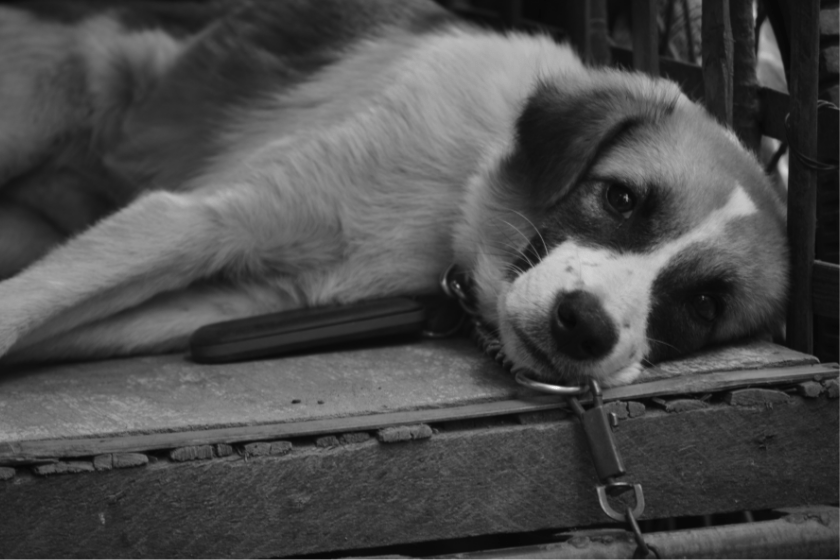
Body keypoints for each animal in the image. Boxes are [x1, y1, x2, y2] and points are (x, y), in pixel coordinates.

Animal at [0, 0, 788, 388]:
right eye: (622, 199)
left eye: (706, 305)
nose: (585, 329)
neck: (461, 190)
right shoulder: (200, 220)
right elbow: (18, 310)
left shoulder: (229, 304)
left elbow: (39, 324)